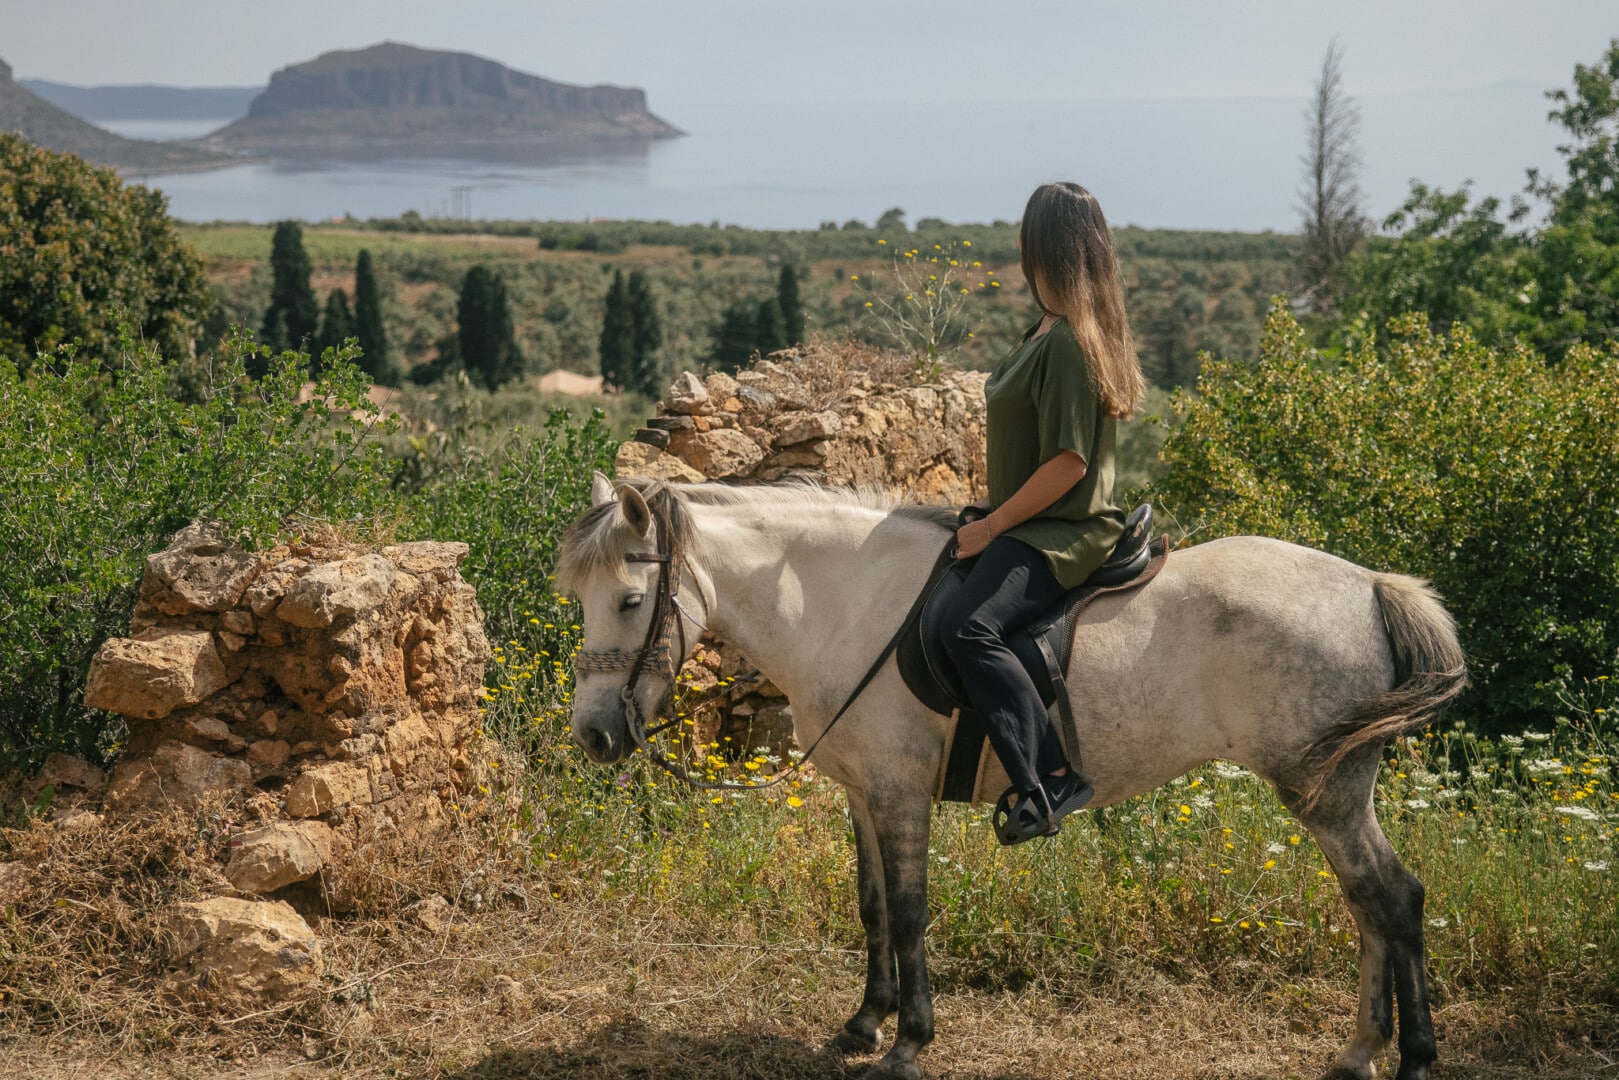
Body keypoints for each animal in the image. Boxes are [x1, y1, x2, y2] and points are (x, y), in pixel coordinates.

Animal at [563, 476, 1476, 1080]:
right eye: (580, 599)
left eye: (631, 599)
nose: (596, 734)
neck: (845, 604)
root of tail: (1369, 585)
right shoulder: (863, 791)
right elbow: (870, 907)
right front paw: (864, 1022)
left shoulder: (897, 792)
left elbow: (908, 911)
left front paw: (909, 1042)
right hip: (1330, 794)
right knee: (1368, 906)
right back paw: (1358, 1054)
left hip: (1324, 794)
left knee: (1391, 900)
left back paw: (1409, 1058)